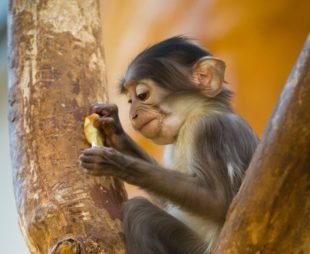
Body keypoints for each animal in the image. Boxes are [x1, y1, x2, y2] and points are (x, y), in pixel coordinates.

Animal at [78, 36, 258, 254]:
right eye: (129, 100)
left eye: (142, 95)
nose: (132, 115)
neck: (195, 114)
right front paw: (115, 130)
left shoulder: (210, 129)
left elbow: (218, 201)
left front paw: (115, 162)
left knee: (140, 214)